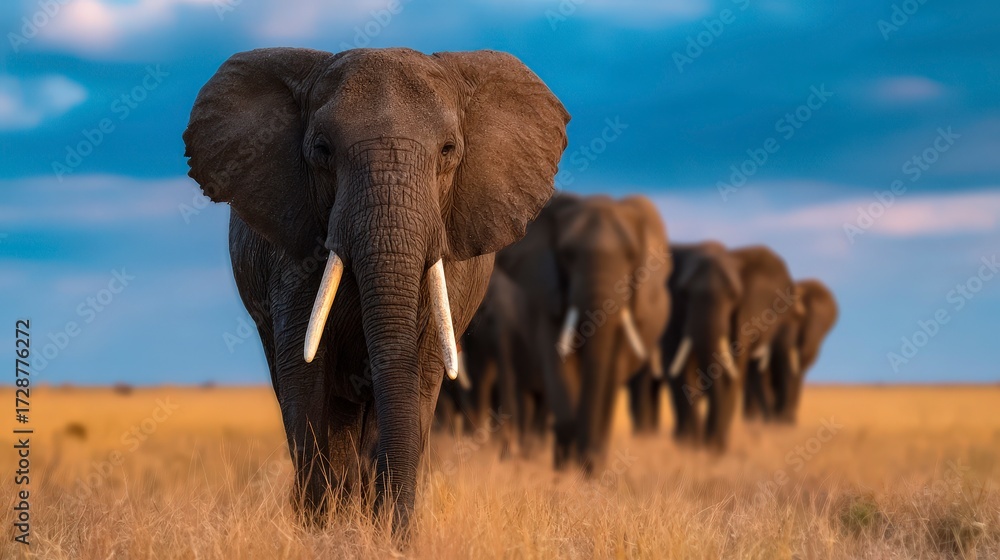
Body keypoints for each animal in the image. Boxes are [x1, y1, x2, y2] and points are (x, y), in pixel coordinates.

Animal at [182, 47, 569, 534]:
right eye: (322, 150)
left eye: (449, 150)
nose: (399, 533)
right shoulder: (292, 249)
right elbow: (303, 369)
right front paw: (320, 530)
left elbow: (420, 368)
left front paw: (386, 532)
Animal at [498, 193, 670, 473]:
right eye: (567, 254)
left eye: (632, 255)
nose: (587, 464)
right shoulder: (550, 298)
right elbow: (559, 364)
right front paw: (567, 472)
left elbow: (610, 373)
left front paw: (590, 471)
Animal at [646, 242, 797, 451]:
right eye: (684, 294)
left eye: (733, 295)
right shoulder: (672, 317)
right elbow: (681, 371)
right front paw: (691, 448)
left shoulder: (745, 317)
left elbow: (731, 372)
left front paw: (714, 450)